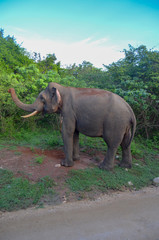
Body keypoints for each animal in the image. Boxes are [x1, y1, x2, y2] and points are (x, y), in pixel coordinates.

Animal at [8, 82, 136, 171]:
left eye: (42, 98)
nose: (10, 89)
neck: (62, 88)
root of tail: (131, 111)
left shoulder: (68, 111)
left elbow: (67, 132)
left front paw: (65, 164)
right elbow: (75, 133)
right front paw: (76, 159)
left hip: (115, 123)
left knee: (112, 144)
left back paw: (104, 168)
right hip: (125, 125)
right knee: (125, 144)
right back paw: (125, 166)